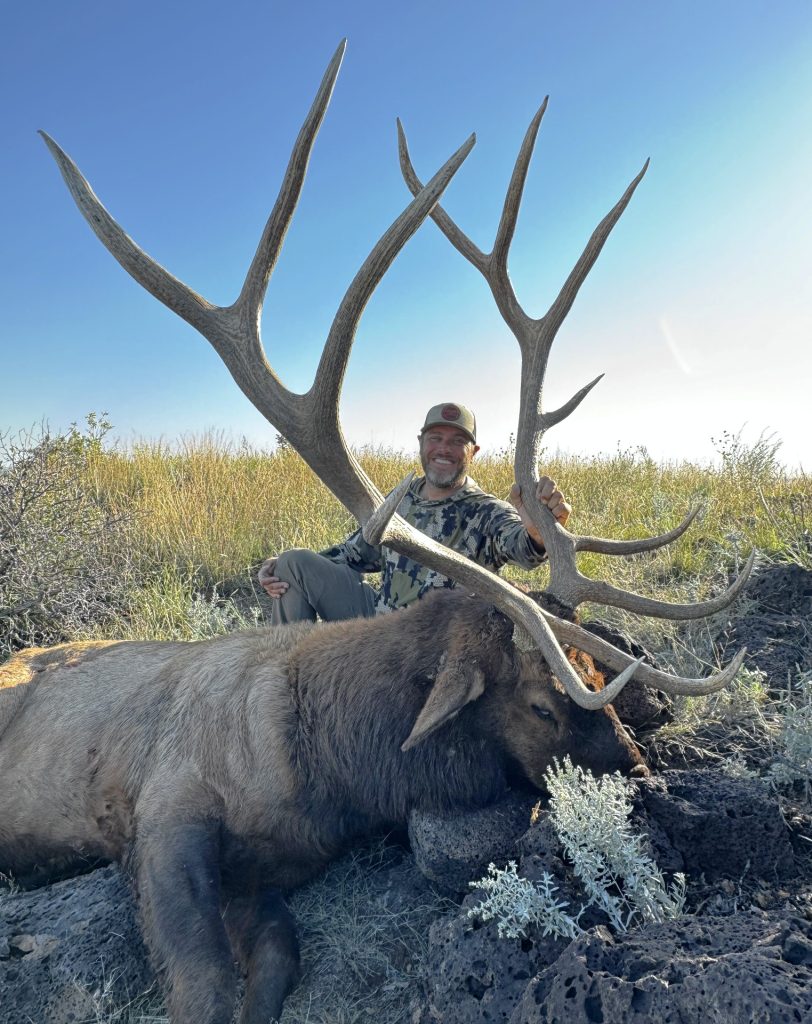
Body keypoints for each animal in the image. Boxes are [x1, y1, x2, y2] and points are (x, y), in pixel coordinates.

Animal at [0, 593, 643, 1024]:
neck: (326, 764)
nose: (637, 769)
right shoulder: (165, 808)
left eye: (598, 671)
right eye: (542, 707)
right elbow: (204, 981)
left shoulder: (256, 872)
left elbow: (277, 961)